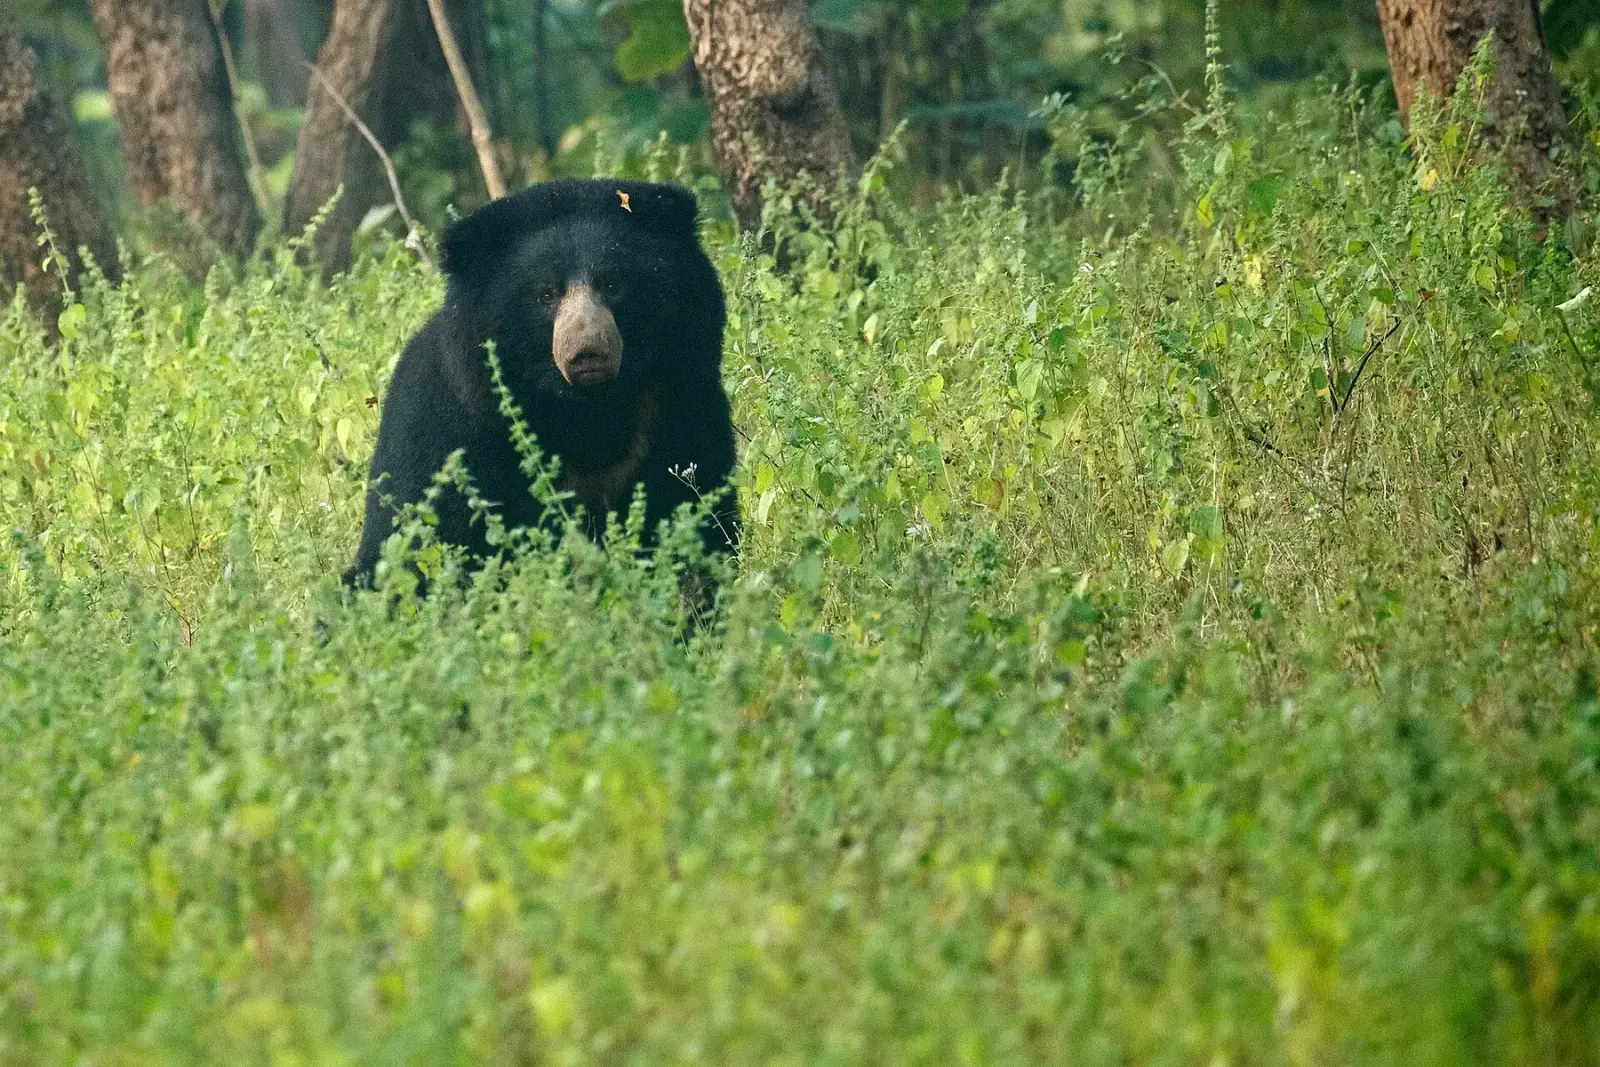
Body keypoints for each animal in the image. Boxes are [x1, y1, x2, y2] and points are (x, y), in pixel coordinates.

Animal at [342, 178, 739, 601]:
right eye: (546, 293)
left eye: (611, 284)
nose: (587, 351)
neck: (587, 408)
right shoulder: (449, 420)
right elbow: (431, 527)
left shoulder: (681, 396)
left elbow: (694, 500)